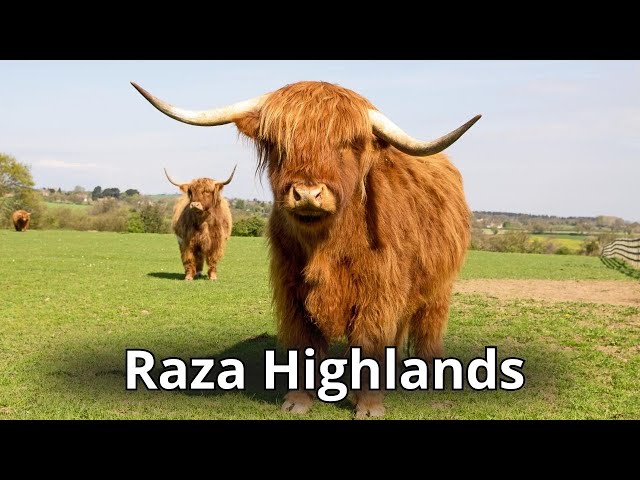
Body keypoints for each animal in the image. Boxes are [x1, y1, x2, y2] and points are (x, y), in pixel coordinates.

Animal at [132, 80, 480, 418]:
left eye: (346, 143)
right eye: (278, 143)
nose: (308, 194)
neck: (326, 245)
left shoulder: (379, 291)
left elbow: (370, 339)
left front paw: (369, 405)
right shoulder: (292, 290)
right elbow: (303, 343)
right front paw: (298, 400)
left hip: (438, 289)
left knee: (428, 327)